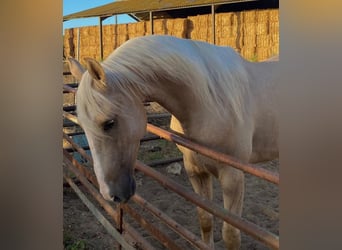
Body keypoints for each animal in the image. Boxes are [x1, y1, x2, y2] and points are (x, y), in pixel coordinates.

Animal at [68, 34, 280, 248]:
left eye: (109, 123)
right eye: (82, 125)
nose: (110, 194)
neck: (210, 101)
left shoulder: (233, 177)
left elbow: (231, 234)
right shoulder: (196, 170)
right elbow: (205, 220)